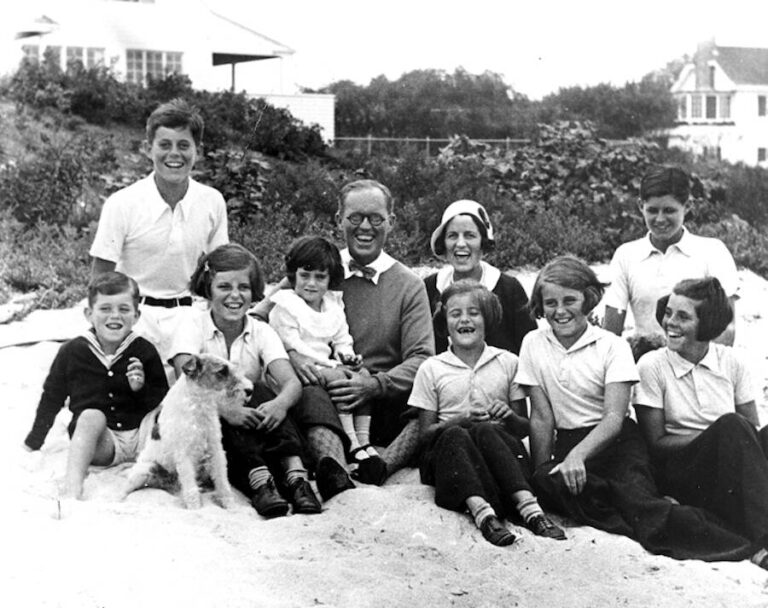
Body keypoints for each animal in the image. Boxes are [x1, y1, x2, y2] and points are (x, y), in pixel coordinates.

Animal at [121, 352, 252, 508]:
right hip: (145, 469)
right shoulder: (184, 455)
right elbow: (191, 488)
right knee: (125, 489)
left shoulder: (216, 450)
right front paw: (195, 508)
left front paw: (230, 506)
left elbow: (222, 481)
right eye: (221, 371)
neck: (199, 405)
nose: (250, 390)